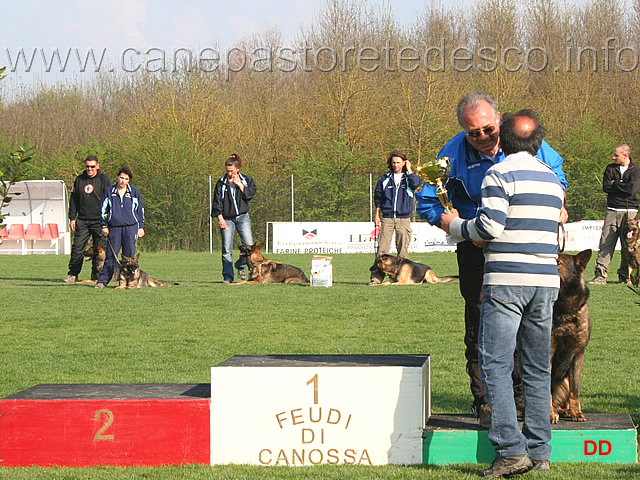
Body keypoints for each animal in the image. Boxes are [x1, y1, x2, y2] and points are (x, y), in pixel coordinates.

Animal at [548, 249, 592, 422]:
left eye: (558, 262)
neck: (563, 311)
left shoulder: (578, 354)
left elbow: (575, 390)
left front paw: (576, 412)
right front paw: (549, 415)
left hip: (564, 380)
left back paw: (564, 411)